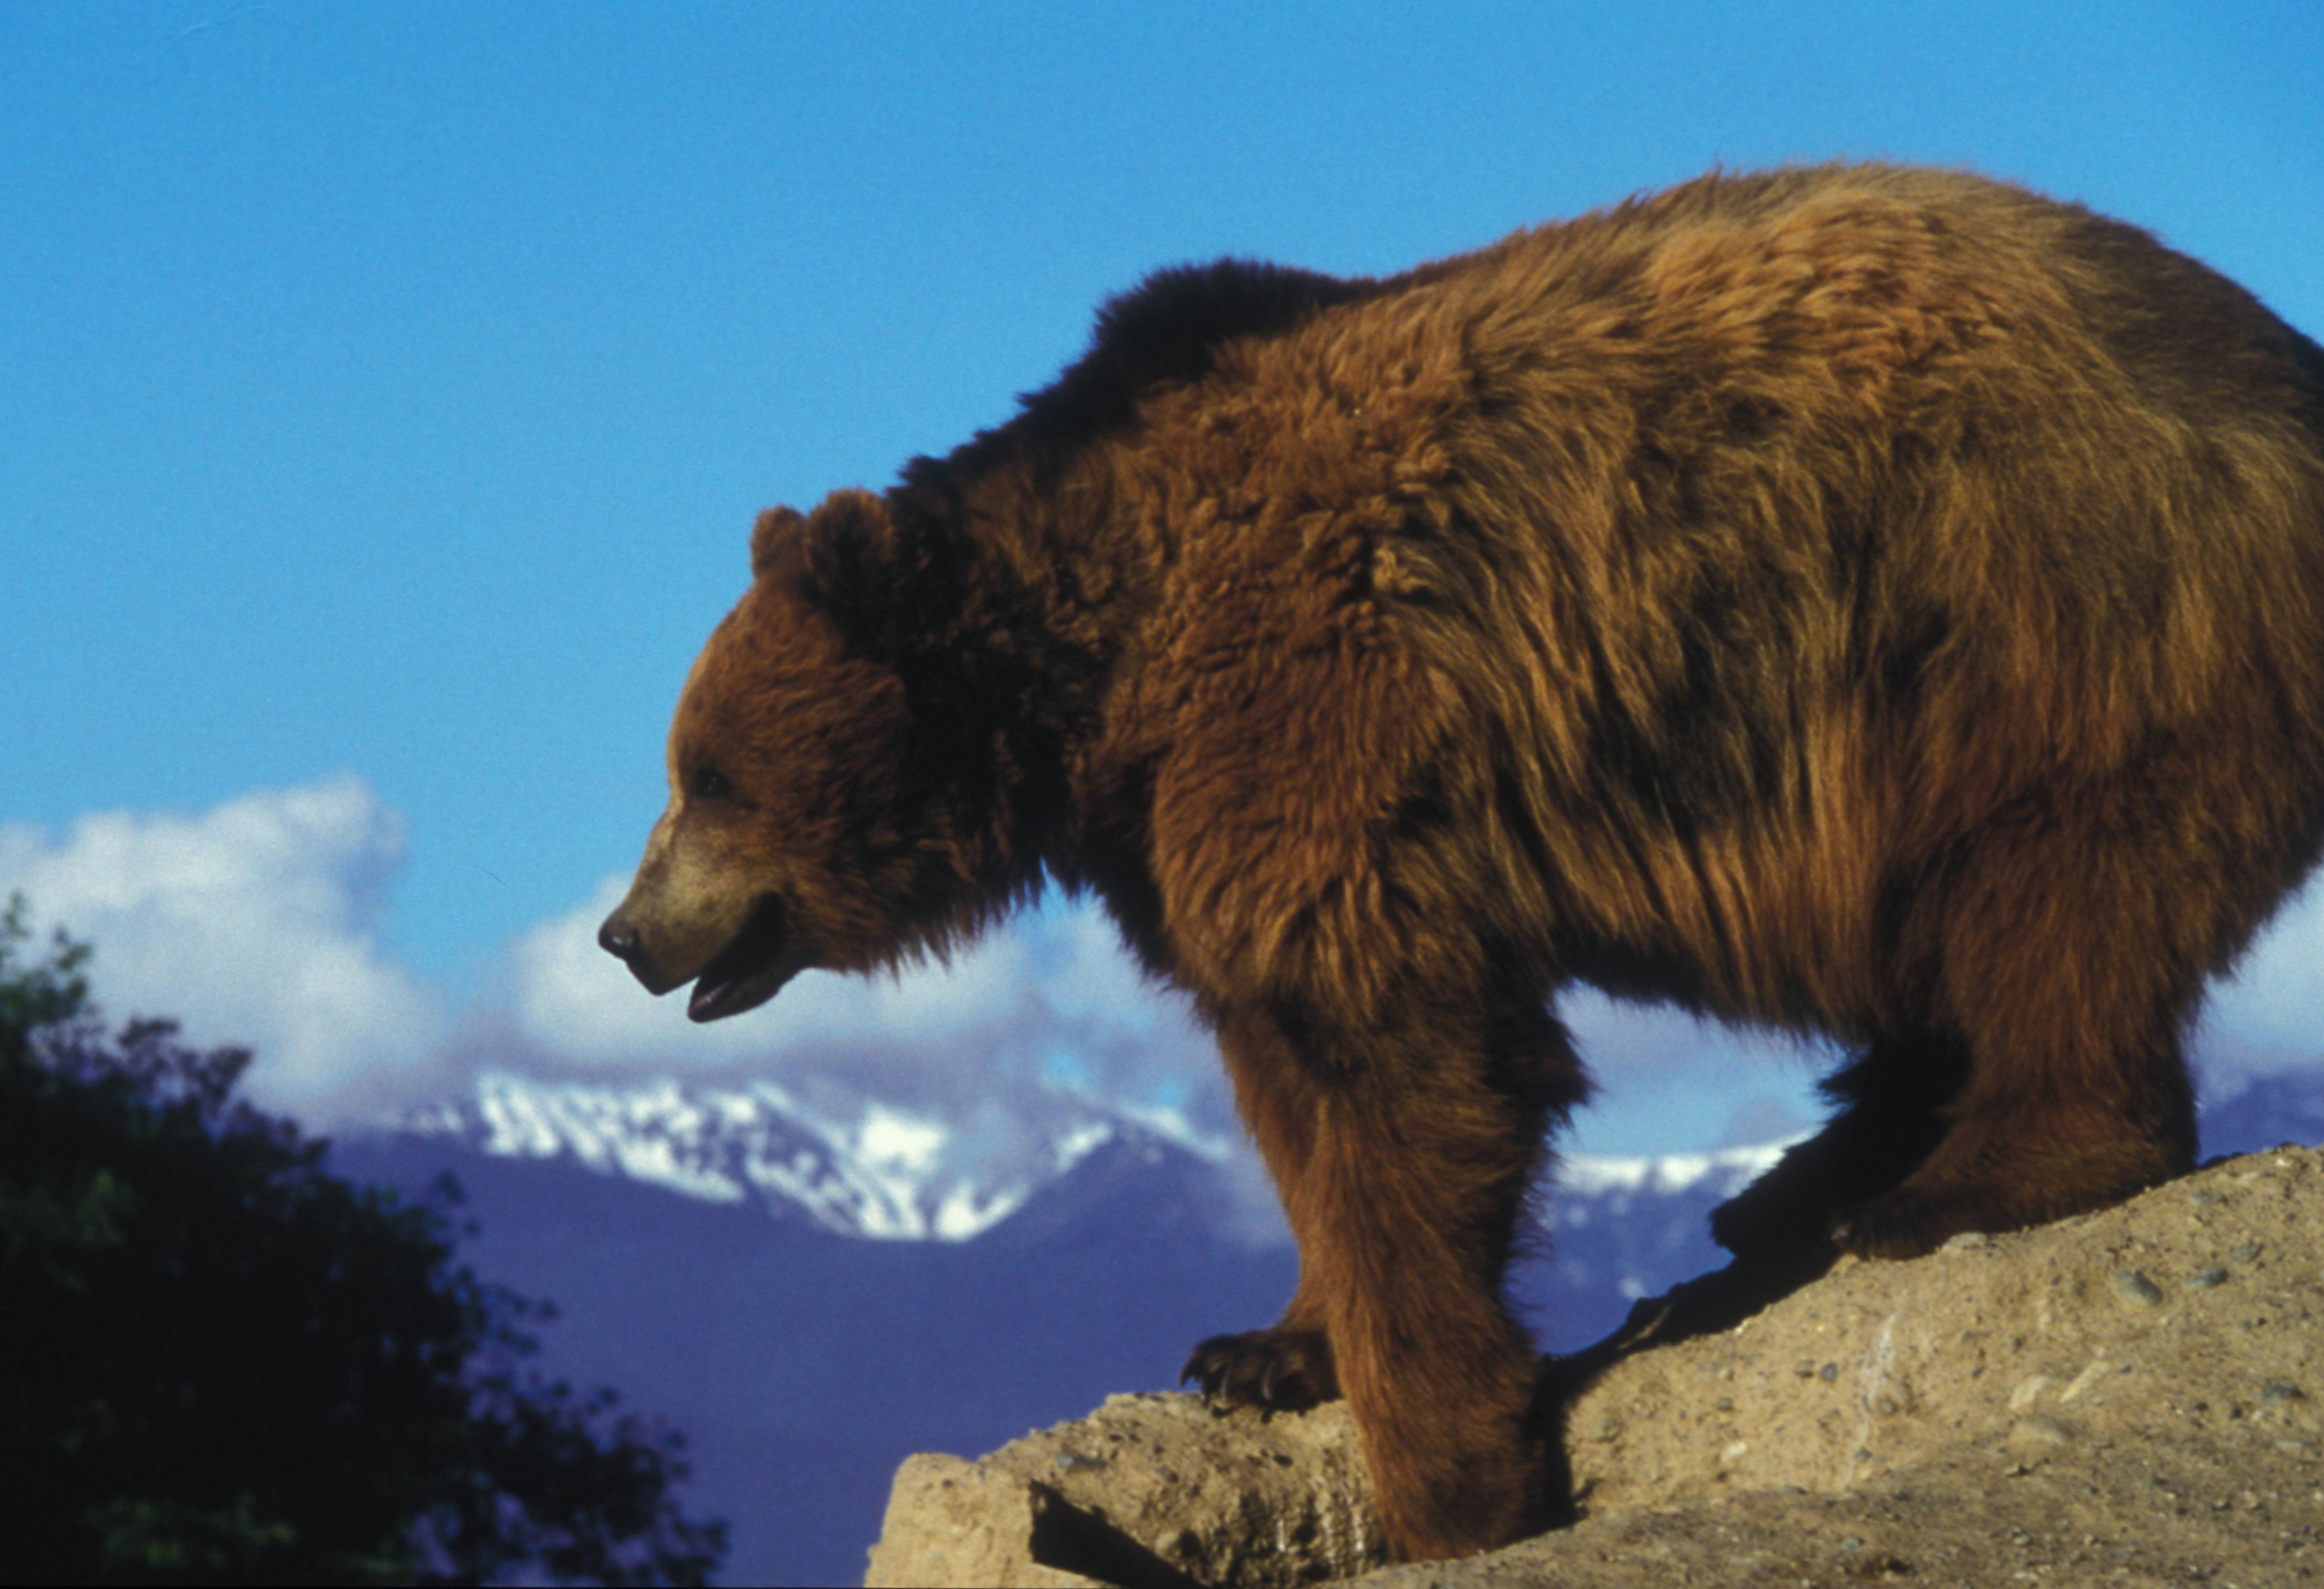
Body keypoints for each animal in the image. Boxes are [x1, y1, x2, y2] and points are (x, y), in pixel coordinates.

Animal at [597, 163, 2324, 1563]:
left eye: (704, 776)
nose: (623, 932)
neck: (1099, 667)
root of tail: (2282, 368)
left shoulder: (1316, 710)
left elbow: (1404, 1069)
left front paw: (1448, 1481)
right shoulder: (1190, 824)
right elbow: (1286, 1082)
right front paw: (1262, 1349)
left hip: (2037, 606)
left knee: (2055, 887)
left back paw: (1951, 1180)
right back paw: (1797, 1182)